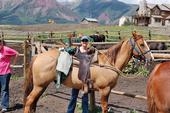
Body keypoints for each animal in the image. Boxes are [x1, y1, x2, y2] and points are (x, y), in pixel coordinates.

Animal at [23, 32, 153, 113]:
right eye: (142, 44)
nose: (151, 59)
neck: (109, 63)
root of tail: (37, 56)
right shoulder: (104, 90)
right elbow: (105, 108)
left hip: (42, 86)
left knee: (33, 102)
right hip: (39, 86)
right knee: (29, 101)